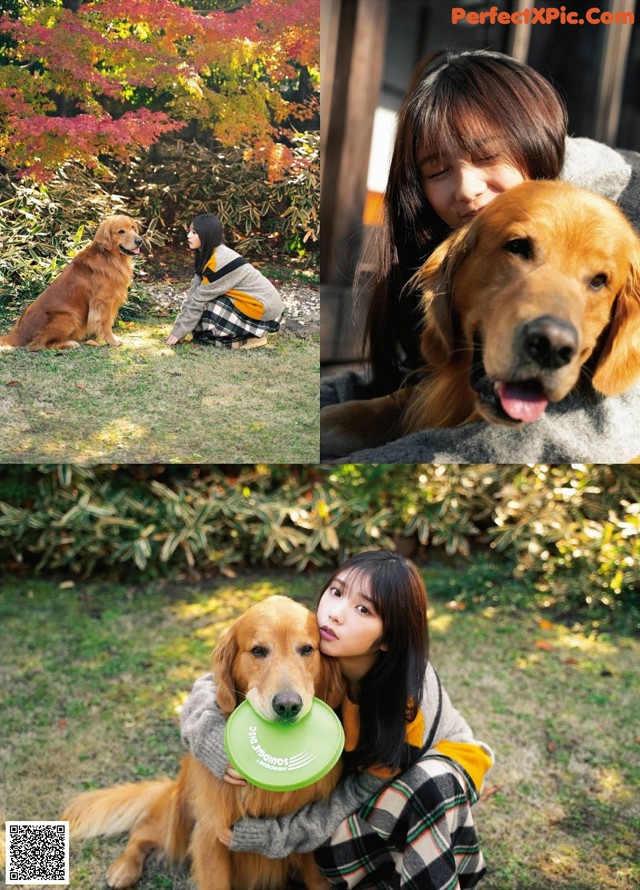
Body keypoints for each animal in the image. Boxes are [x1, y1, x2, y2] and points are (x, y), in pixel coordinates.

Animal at [0, 215, 141, 350]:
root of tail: (19, 331)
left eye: (133, 228)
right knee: (38, 344)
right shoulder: (102, 301)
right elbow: (105, 323)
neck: (110, 257)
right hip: (69, 316)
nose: (139, 241)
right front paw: (111, 340)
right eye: (121, 231)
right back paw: (69, 344)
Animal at [63, 596, 344, 888]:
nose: (288, 706)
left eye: (307, 649)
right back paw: (124, 867)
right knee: (142, 830)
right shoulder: (210, 834)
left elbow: (317, 878)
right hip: (178, 817)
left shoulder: (307, 843)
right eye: (258, 651)